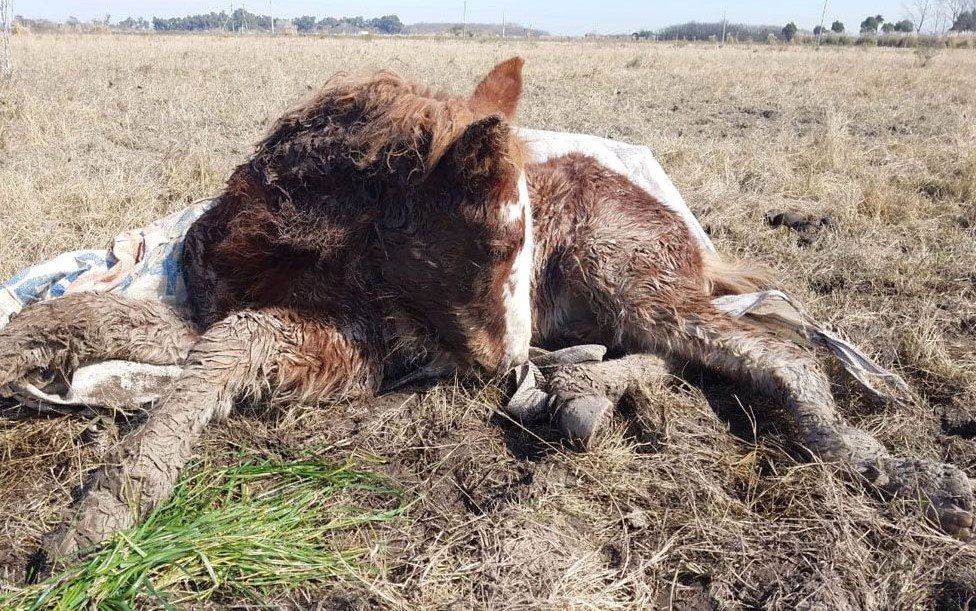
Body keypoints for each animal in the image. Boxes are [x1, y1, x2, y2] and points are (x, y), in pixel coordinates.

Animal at [1, 57, 971, 565]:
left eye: (519, 238)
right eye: (489, 241)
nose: (495, 364)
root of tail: (688, 235)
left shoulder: (343, 352)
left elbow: (223, 351)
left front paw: (101, 512)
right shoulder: (212, 311)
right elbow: (87, 320)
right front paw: (23, 354)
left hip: (622, 274)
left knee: (777, 352)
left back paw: (900, 470)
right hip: (619, 304)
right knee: (689, 351)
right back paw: (578, 394)